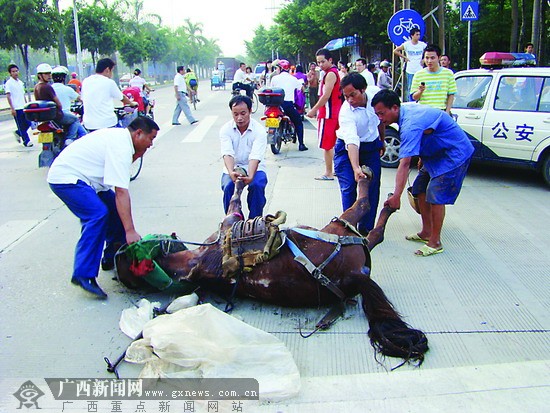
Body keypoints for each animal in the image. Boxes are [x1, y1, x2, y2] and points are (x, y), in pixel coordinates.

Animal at [116, 167, 432, 364]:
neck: (189, 263)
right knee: (367, 215)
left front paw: (240, 177)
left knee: (372, 228)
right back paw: (383, 193)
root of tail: (357, 277)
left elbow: (235, 201)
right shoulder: (227, 223)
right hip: (341, 229)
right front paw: (239, 181)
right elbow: (234, 203)